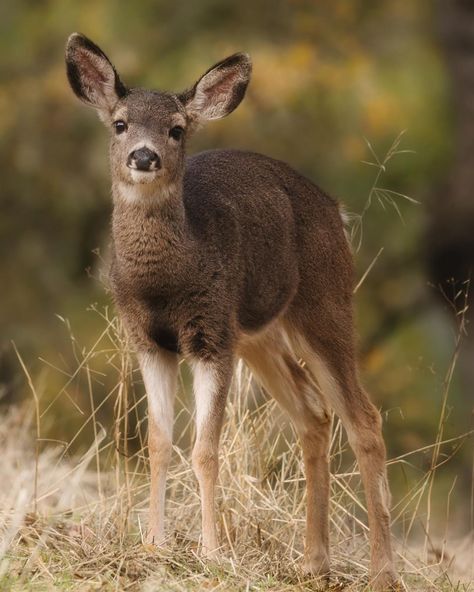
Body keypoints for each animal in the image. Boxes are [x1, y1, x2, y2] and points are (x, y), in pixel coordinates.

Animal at [65, 34, 400, 588]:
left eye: (177, 129)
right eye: (120, 123)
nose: (143, 156)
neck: (164, 281)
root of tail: (336, 209)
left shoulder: (212, 336)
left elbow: (204, 448)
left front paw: (211, 552)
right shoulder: (147, 341)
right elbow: (158, 442)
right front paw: (154, 545)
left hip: (325, 303)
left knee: (365, 418)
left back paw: (382, 571)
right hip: (258, 334)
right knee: (314, 411)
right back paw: (313, 561)